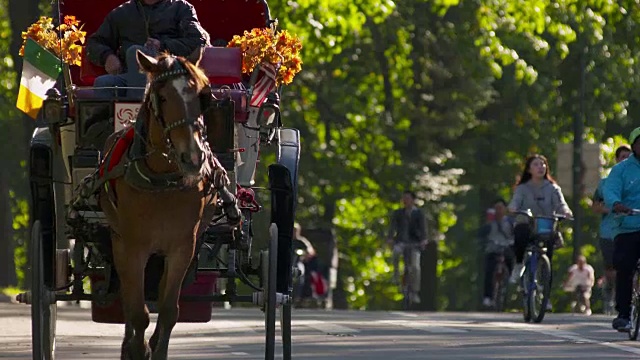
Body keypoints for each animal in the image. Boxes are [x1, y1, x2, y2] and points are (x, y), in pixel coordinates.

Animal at [100, 48, 238, 360]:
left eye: (203, 95)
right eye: (162, 97)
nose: (193, 157)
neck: (162, 178)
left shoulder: (182, 246)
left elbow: (167, 311)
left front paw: (154, 348)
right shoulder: (133, 246)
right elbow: (138, 312)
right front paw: (137, 349)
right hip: (118, 241)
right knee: (129, 299)